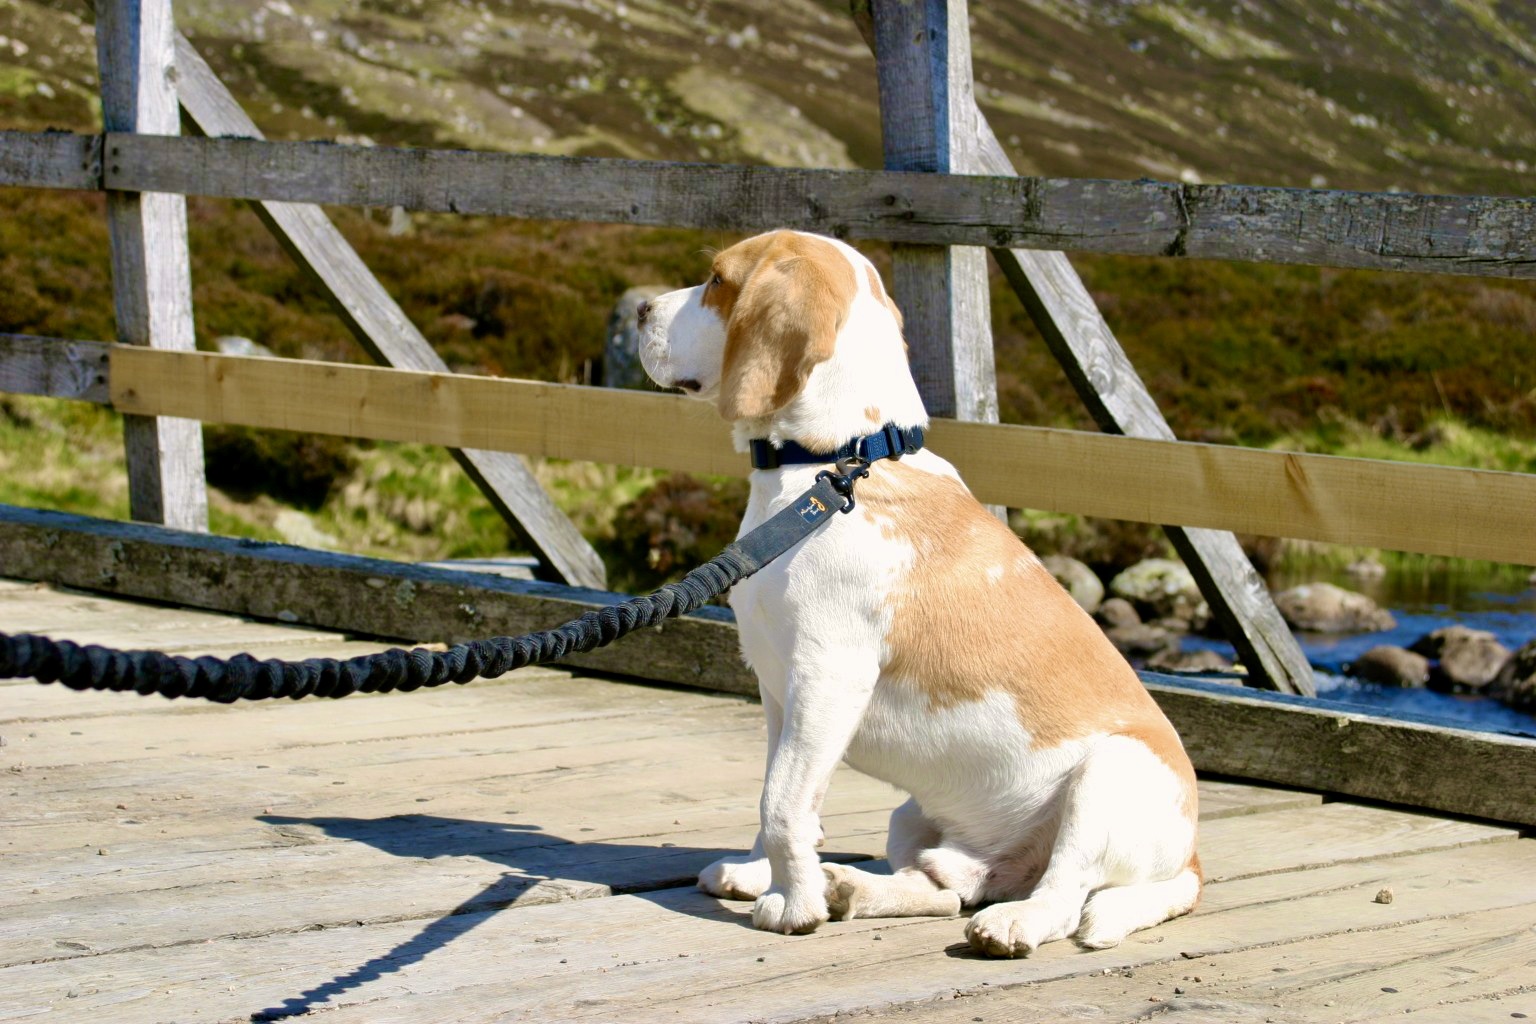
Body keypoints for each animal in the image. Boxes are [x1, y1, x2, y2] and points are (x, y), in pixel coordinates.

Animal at [637, 230, 1200, 957]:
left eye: (716, 279)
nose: (640, 310)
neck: (835, 463)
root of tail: (1192, 862)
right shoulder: (778, 690)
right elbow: (778, 789)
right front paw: (767, 876)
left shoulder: (826, 676)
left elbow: (782, 800)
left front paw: (793, 906)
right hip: (914, 817)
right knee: (948, 888)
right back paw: (853, 888)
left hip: (1107, 775)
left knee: (1064, 896)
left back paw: (1008, 923)